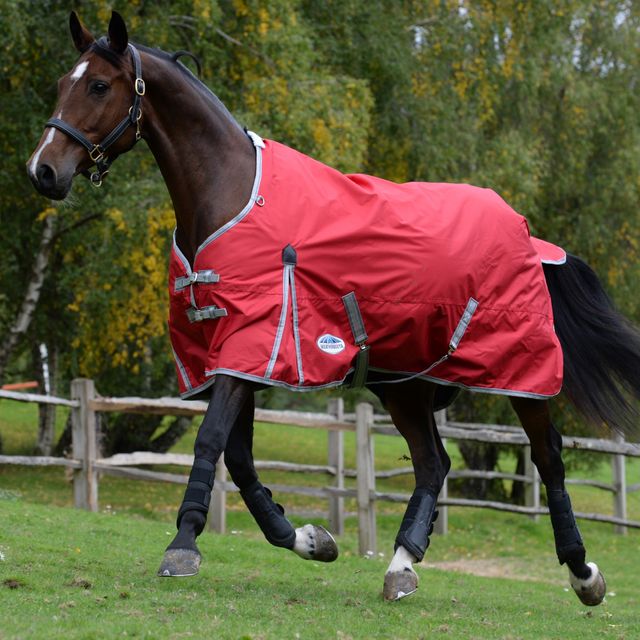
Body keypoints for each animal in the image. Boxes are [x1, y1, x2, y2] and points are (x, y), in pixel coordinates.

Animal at [27, 12, 640, 608]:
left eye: (99, 85)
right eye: (59, 84)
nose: (43, 171)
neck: (232, 196)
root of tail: (530, 238)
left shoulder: (254, 346)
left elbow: (210, 442)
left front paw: (183, 547)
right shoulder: (228, 356)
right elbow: (240, 458)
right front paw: (306, 539)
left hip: (519, 372)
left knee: (548, 456)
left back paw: (583, 574)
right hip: (404, 384)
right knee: (433, 463)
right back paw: (401, 566)